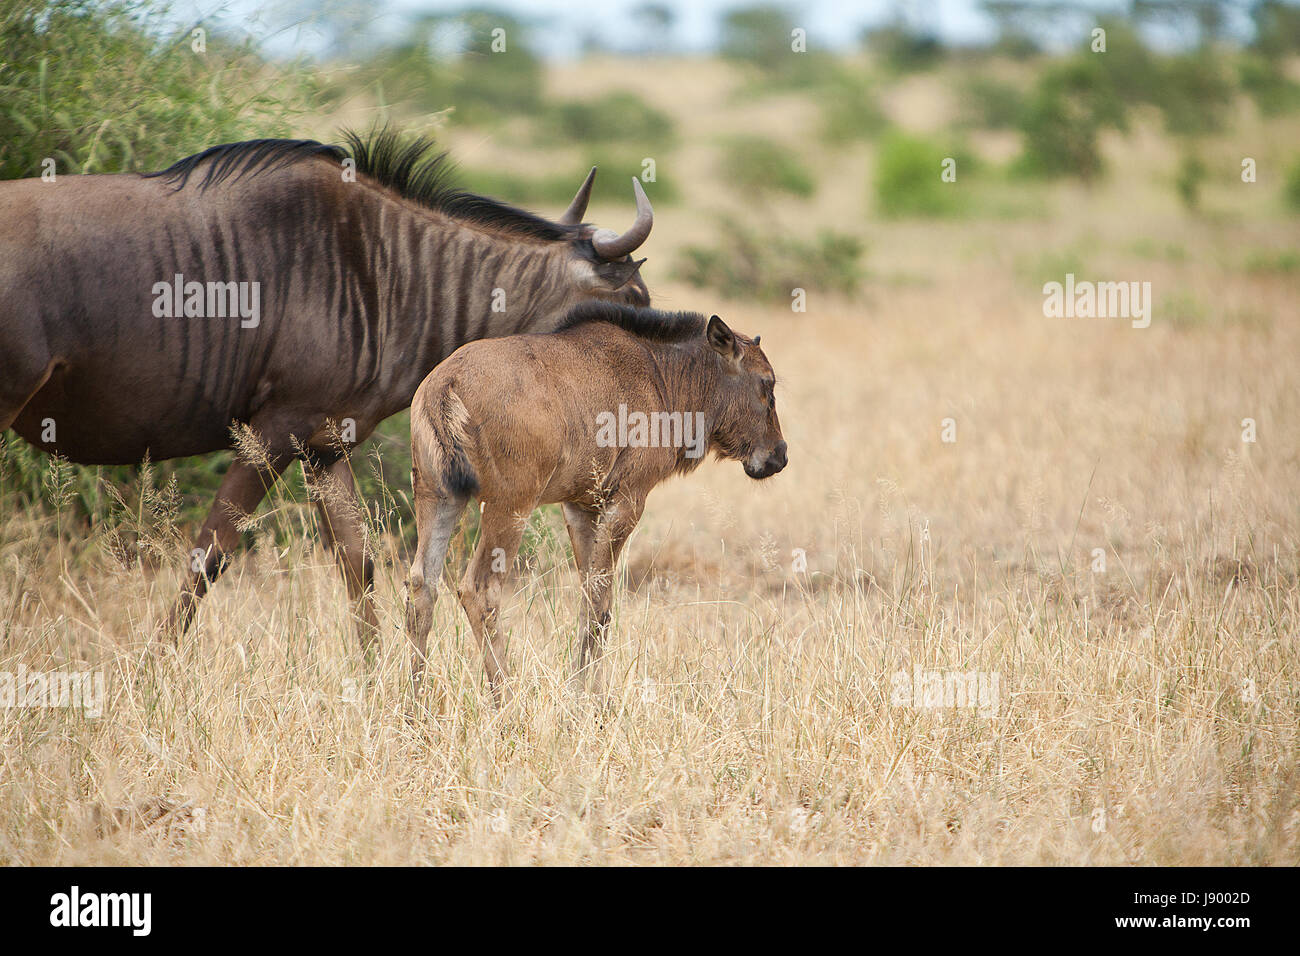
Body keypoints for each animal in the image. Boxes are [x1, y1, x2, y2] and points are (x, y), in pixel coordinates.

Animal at [405, 303, 785, 697]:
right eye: (766, 384)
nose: (779, 455)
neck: (664, 377)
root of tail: (444, 386)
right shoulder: (627, 500)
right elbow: (602, 603)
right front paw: (594, 697)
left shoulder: (580, 506)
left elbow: (589, 597)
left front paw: (580, 689)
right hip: (510, 506)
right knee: (478, 590)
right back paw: (507, 697)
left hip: (438, 496)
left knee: (421, 585)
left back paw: (416, 701)